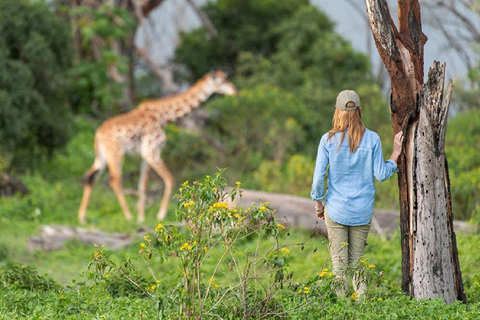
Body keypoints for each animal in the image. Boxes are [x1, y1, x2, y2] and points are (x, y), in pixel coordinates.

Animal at [79, 70, 238, 224]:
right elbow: (169, 179)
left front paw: (141, 217)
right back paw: (128, 216)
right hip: (116, 153)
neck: (164, 116)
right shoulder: (152, 150)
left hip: (102, 155)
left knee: (90, 176)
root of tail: (98, 134)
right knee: (115, 180)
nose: (234, 91)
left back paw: (82, 217)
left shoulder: (145, 154)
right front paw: (160, 215)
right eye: (222, 81)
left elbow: (143, 185)